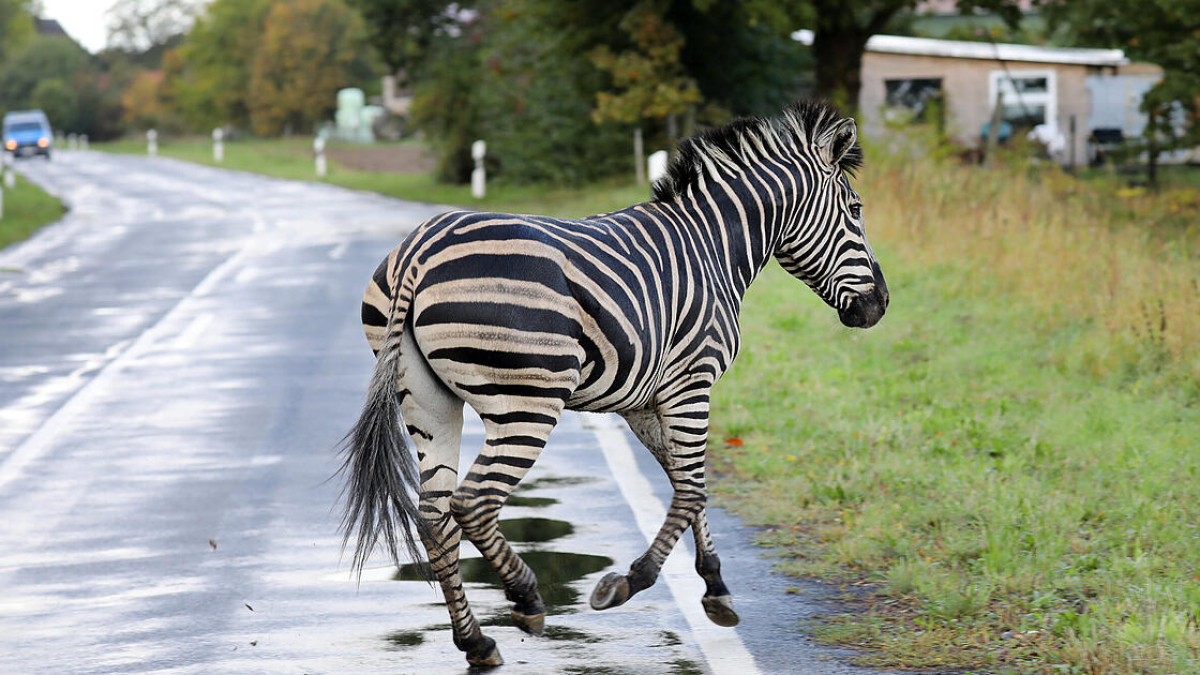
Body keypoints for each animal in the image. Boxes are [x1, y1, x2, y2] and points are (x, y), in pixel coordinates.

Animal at [341, 100, 888, 667]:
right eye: (856, 209)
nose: (880, 305)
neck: (713, 246)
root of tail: (419, 250)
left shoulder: (644, 401)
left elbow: (685, 482)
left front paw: (716, 588)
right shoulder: (692, 383)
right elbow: (692, 488)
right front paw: (630, 581)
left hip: (428, 401)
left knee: (433, 516)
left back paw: (477, 642)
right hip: (527, 402)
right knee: (472, 503)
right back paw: (525, 597)